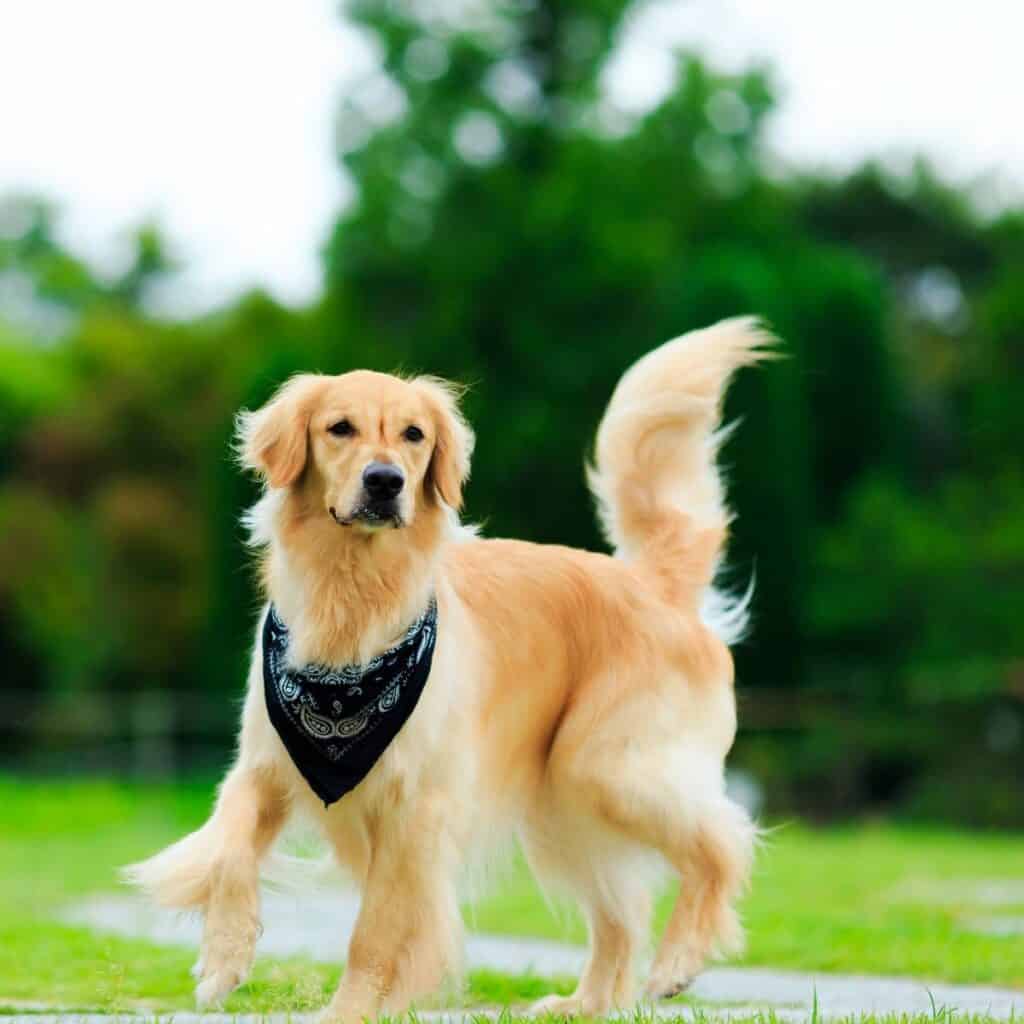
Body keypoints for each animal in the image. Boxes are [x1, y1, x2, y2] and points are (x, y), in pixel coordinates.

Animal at [125, 315, 770, 1019]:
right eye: (339, 427)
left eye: (415, 435)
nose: (385, 481)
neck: (352, 605)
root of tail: (651, 583)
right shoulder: (264, 763)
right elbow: (229, 853)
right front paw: (223, 959)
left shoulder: (415, 809)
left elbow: (375, 931)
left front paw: (351, 1008)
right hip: (565, 804)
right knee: (622, 912)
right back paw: (583, 1002)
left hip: (607, 765)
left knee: (724, 841)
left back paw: (679, 961)